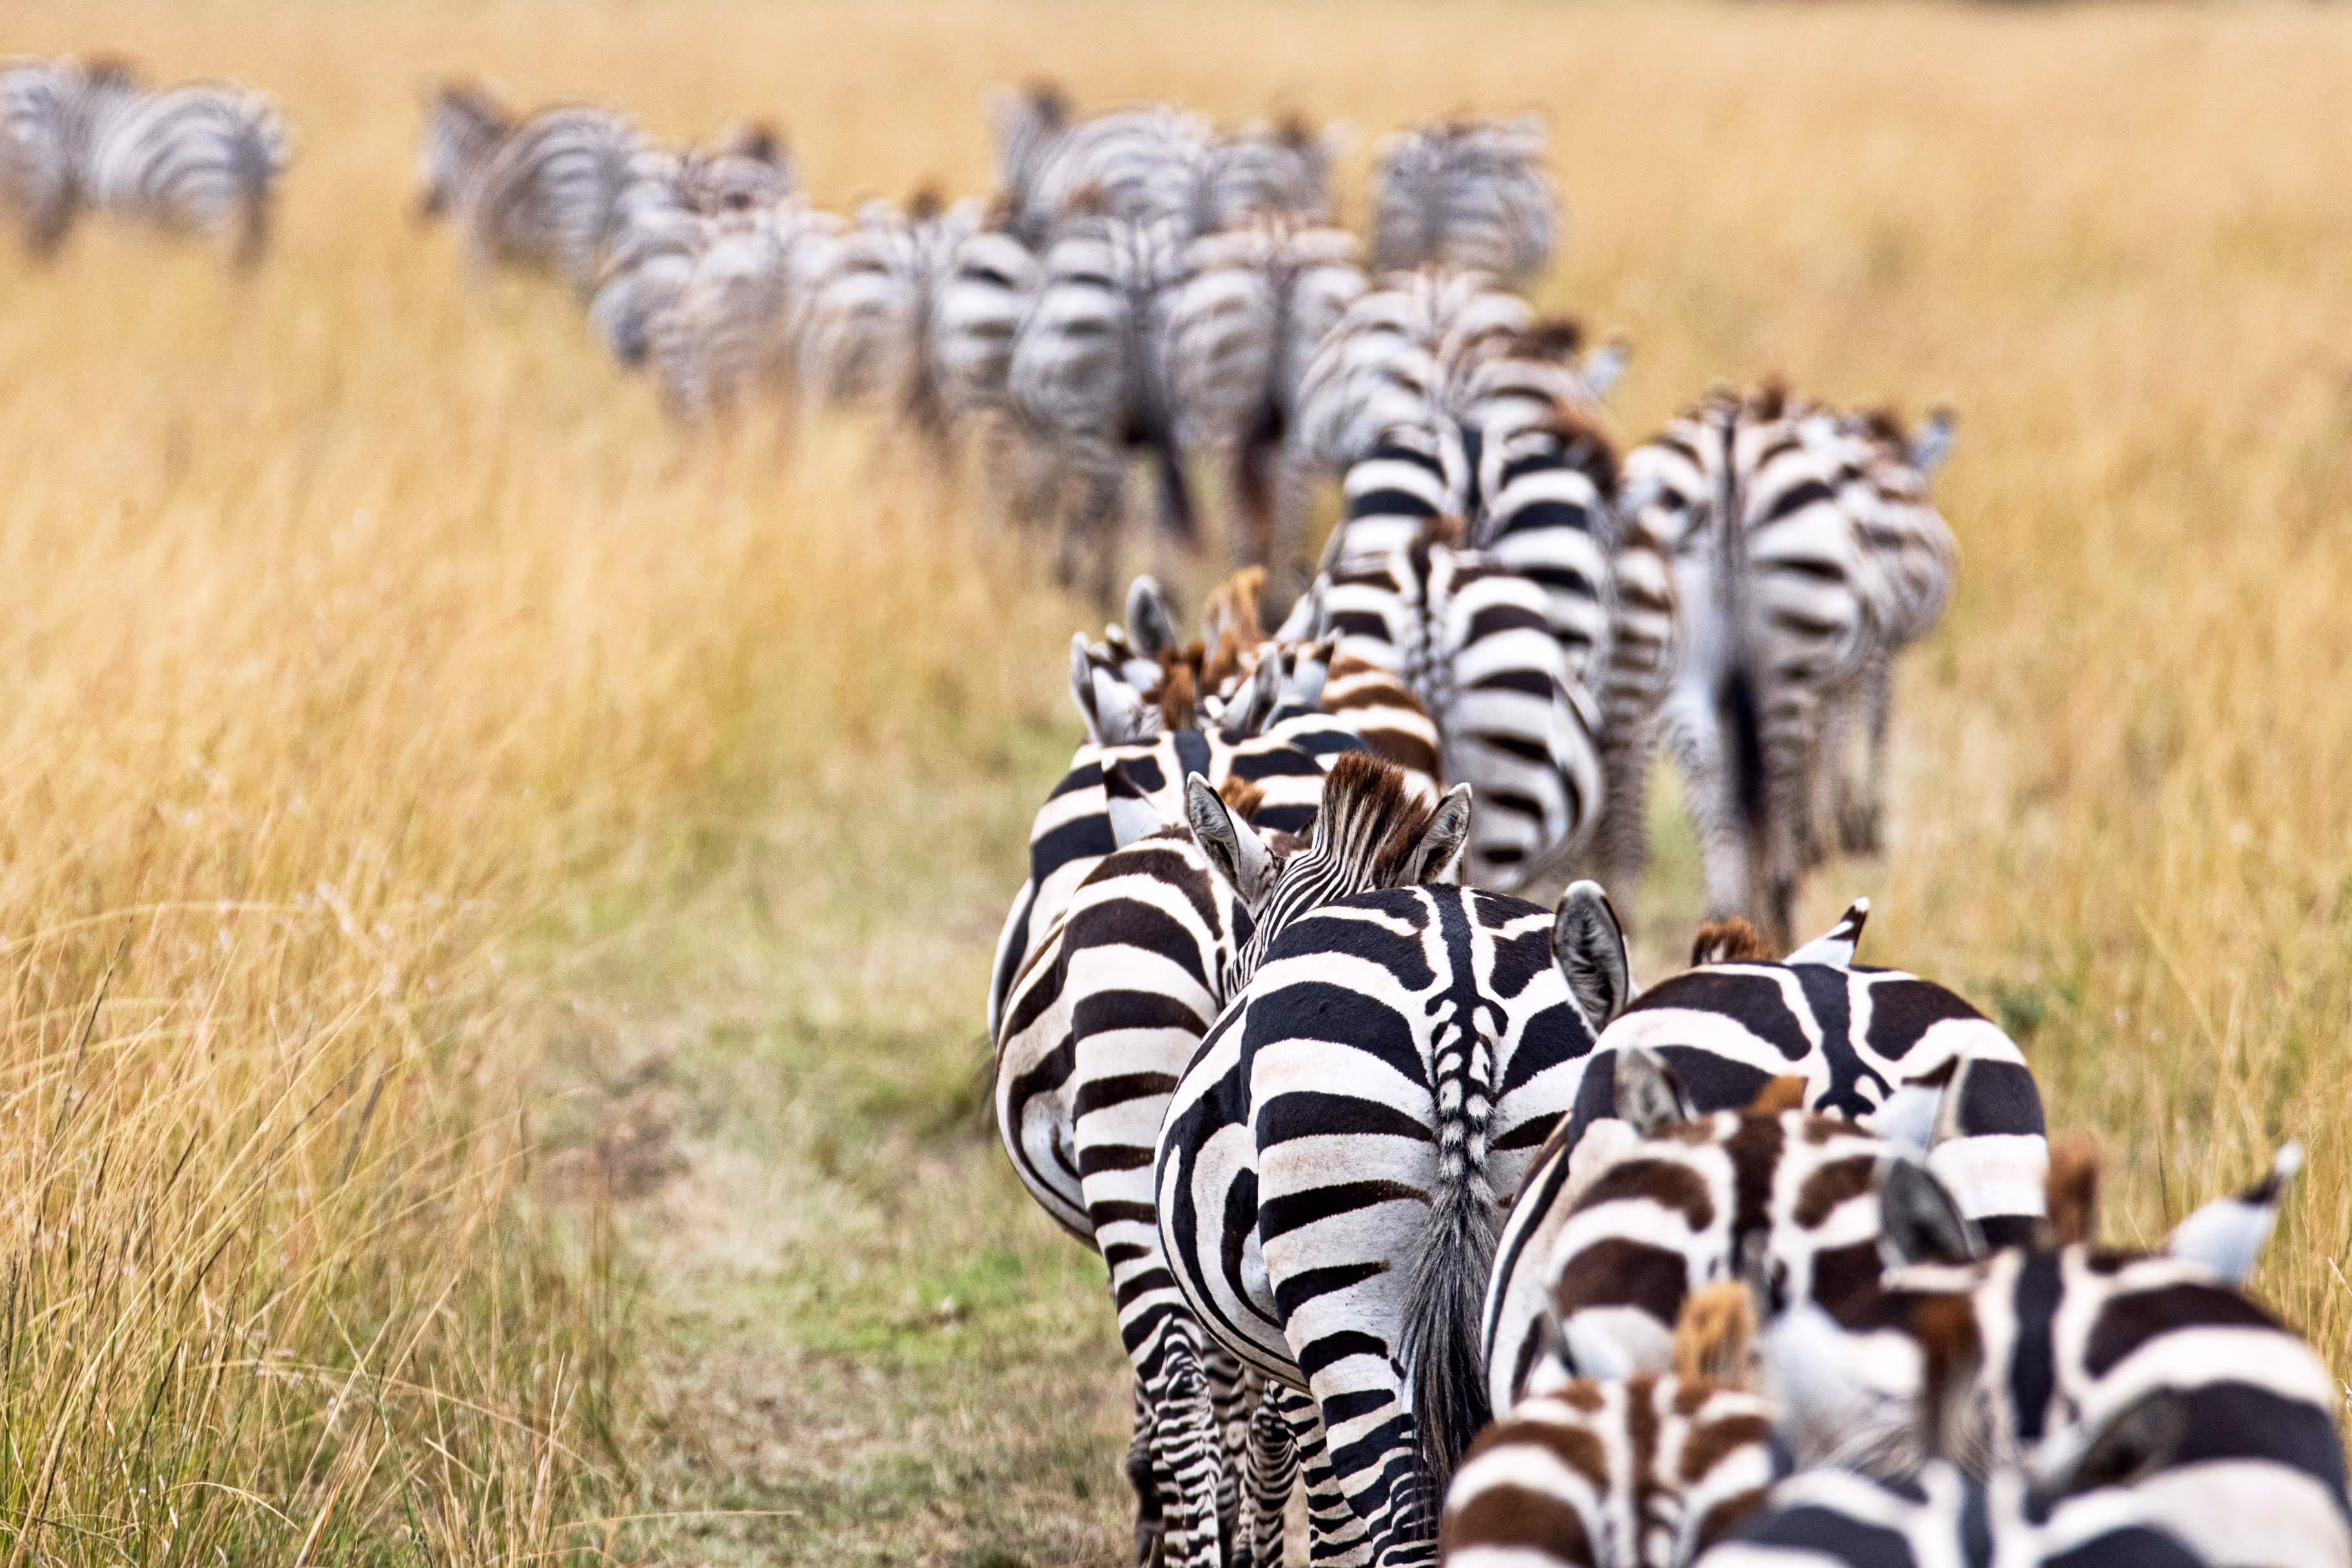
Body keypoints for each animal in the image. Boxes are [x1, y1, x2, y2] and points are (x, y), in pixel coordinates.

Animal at [415, 81, 642, 290]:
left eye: (423, 142)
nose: (418, 213)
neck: (475, 158)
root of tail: (603, 136)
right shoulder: (530, 264)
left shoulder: (477, 246)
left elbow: (480, 297)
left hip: (575, 233)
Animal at [1156, 795, 1637, 1564]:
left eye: (1235, 972)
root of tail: (1464, 1000)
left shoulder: (1296, 1367)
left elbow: (1333, 1527)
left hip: (1346, 1301)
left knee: (1403, 1522)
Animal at [1620, 385, 1881, 947]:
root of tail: (1729, 441)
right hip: (1786, 665)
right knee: (1778, 787)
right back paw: (1781, 910)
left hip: (1682, 664)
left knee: (1708, 770)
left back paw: (1728, 915)